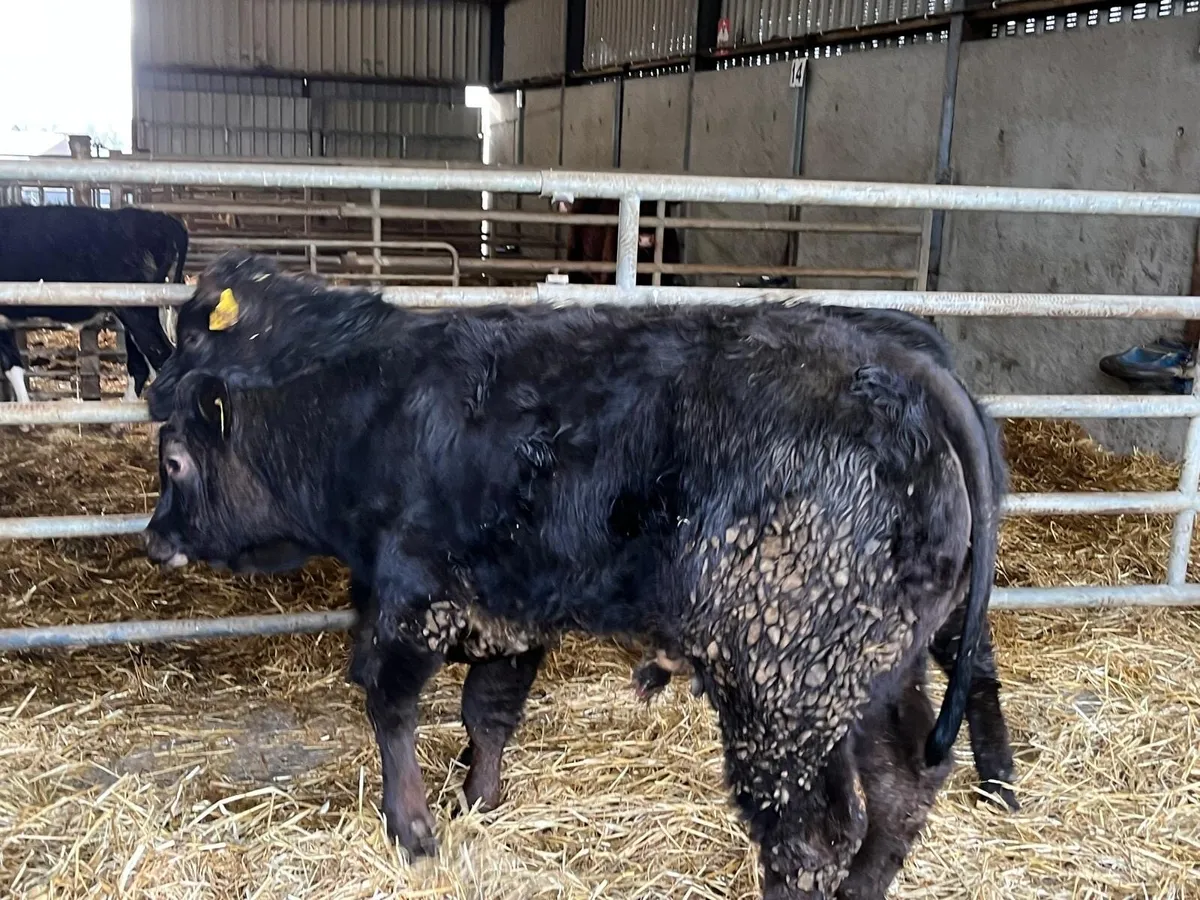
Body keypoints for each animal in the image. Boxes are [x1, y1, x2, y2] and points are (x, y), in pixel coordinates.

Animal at [144, 253, 1005, 898]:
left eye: (175, 460)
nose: (154, 539)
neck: (373, 405)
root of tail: (907, 372)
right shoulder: (507, 603)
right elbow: (488, 713)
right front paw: (478, 804)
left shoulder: (412, 593)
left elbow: (391, 706)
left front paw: (413, 829)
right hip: (874, 670)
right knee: (901, 789)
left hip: (783, 684)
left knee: (812, 835)